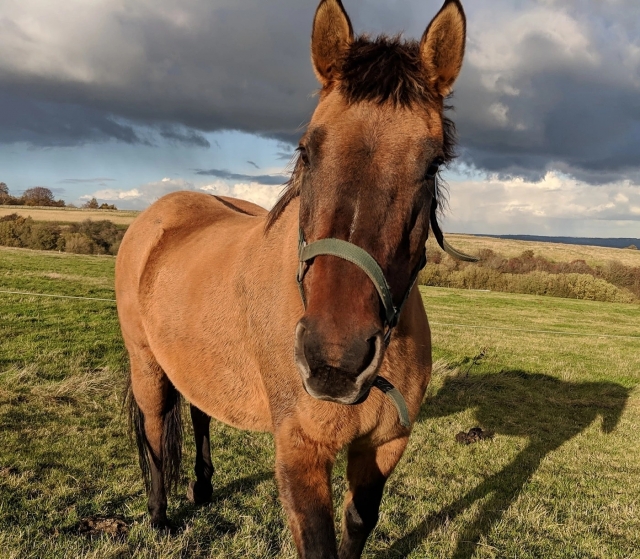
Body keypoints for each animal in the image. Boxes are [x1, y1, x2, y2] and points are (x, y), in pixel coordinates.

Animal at [115, 1, 468, 557]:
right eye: (307, 151)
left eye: (432, 163)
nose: (336, 360)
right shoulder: (301, 455)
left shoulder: (384, 446)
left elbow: (358, 523)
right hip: (146, 364)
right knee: (152, 433)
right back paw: (158, 517)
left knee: (199, 411)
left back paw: (203, 487)